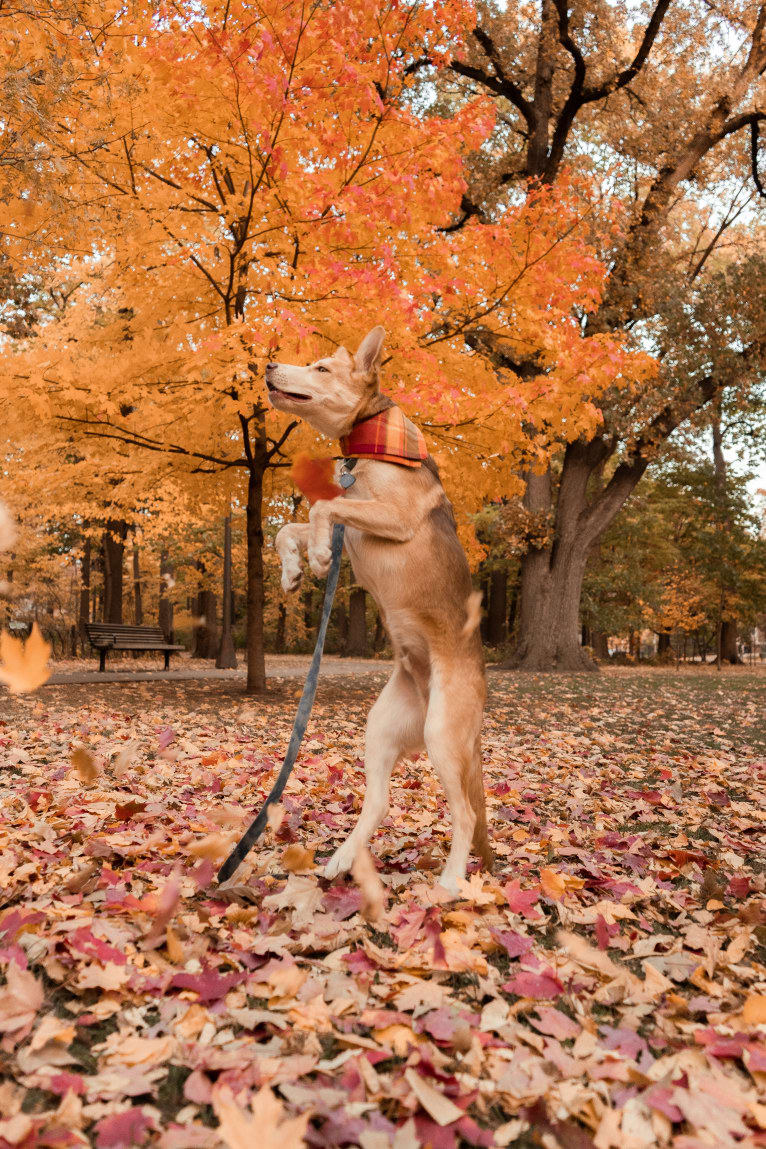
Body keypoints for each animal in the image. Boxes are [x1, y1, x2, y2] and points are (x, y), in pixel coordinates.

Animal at [266, 328, 491, 891]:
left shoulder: (390, 515)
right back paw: (343, 859)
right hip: (380, 729)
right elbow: (291, 526)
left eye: (321, 368)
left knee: (465, 814)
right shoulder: (355, 523)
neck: (371, 446)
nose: (269, 366)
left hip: (442, 737)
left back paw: (449, 884)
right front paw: (294, 569)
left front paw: (317, 556)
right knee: (379, 802)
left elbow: (322, 507)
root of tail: (429, 688)